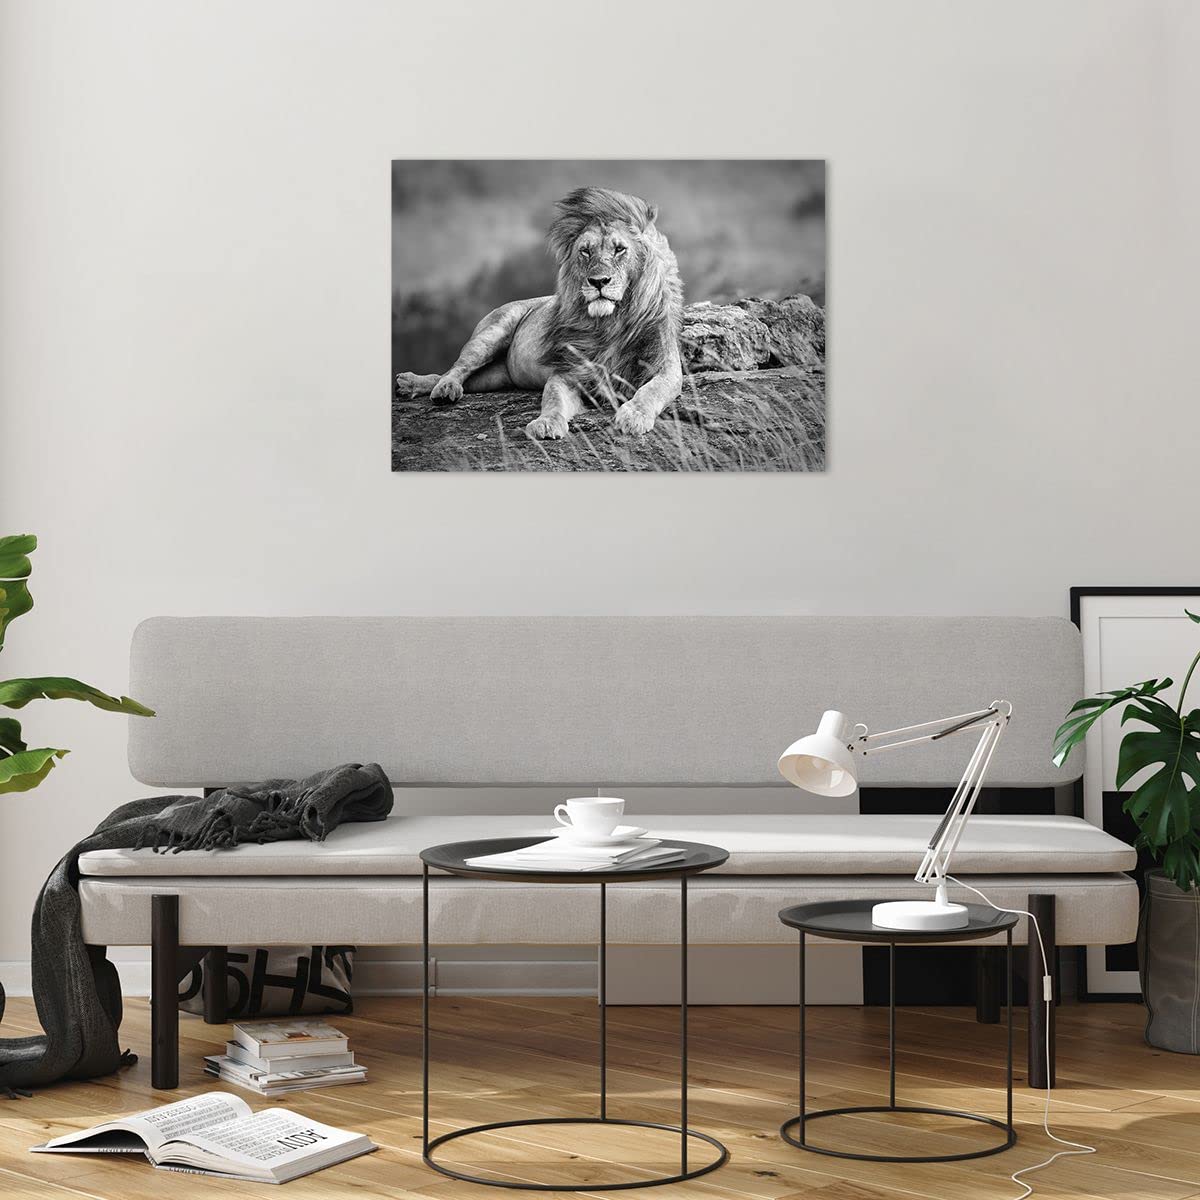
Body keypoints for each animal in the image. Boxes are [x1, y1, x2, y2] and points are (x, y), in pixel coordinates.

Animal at [395, 187, 684, 439]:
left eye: (619, 249)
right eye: (585, 251)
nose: (598, 281)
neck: (610, 322)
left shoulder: (666, 367)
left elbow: (651, 391)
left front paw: (634, 416)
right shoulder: (568, 372)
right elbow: (553, 399)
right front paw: (546, 423)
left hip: (496, 377)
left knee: (461, 378)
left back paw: (412, 384)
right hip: (491, 333)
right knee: (457, 368)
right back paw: (438, 388)